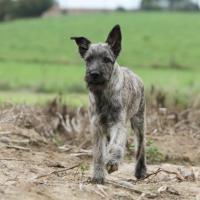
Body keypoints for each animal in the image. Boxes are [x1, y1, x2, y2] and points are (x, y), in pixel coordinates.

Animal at [71, 24, 146, 184]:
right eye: (88, 59)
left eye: (106, 59)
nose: (94, 74)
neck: (103, 94)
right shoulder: (97, 126)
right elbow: (99, 153)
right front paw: (98, 175)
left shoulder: (118, 123)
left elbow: (116, 143)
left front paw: (112, 161)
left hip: (139, 121)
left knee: (141, 146)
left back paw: (140, 170)